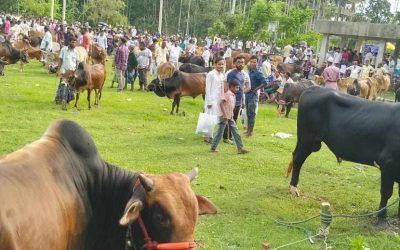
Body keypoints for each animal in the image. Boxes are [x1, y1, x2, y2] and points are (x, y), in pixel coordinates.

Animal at [288, 86, 400, 223]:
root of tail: (315, 88)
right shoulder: (388, 163)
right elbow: (386, 192)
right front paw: (382, 218)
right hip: (307, 138)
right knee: (298, 159)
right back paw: (293, 188)